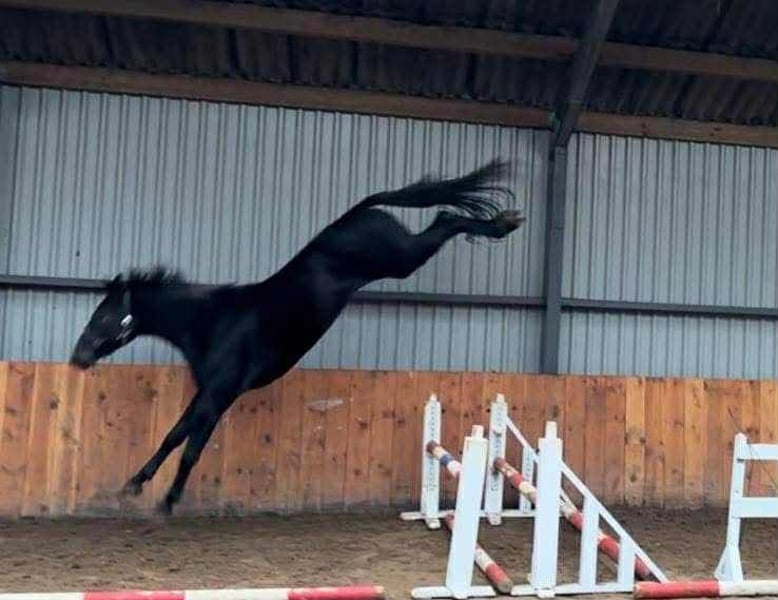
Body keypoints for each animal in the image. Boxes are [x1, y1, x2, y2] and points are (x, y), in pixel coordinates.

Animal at [69, 158, 526, 515]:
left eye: (105, 314)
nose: (78, 357)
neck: (213, 322)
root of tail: (362, 209)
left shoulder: (219, 394)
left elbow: (189, 446)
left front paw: (167, 502)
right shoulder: (207, 393)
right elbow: (173, 436)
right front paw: (134, 485)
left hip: (401, 260)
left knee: (447, 220)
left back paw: (504, 224)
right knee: (444, 218)